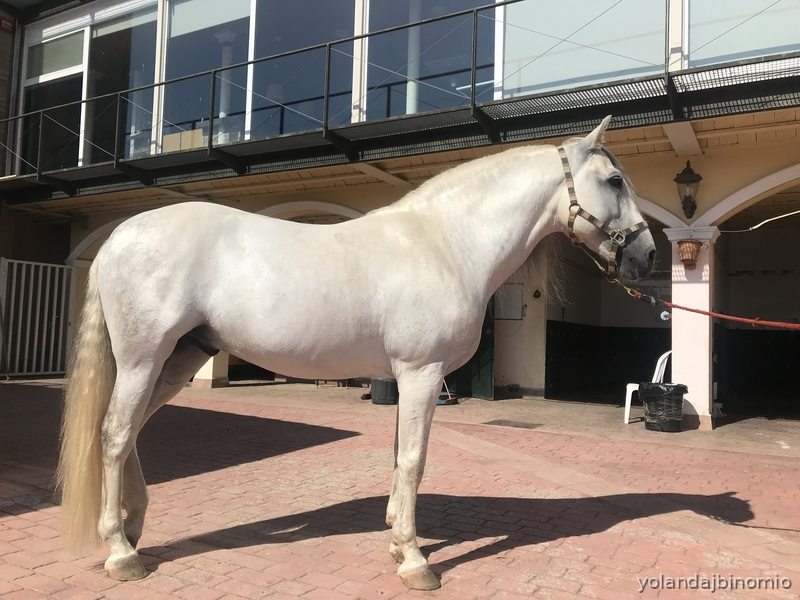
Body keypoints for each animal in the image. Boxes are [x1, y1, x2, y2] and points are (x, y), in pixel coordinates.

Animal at [57, 116, 656, 591]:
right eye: (614, 181)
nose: (647, 257)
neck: (445, 243)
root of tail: (117, 236)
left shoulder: (409, 380)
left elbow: (397, 457)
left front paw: (395, 542)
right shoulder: (421, 375)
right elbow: (413, 460)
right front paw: (415, 561)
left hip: (179, 360)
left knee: (130, 431)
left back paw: (135, 528)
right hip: (143, 359)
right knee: (114, 434)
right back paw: (120, 553)